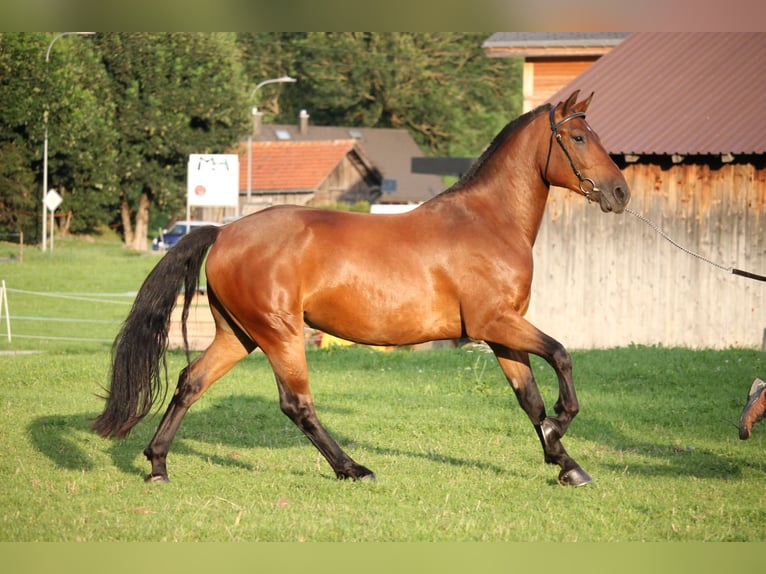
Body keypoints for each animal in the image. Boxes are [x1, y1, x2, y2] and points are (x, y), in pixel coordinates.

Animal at [91, 92, 632, 488]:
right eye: (579, 137)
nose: (620, 193)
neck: (487, 221)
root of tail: (225, 232)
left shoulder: (502, 332)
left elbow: (530, 400)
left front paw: (565, 462)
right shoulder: (496, 322)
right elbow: (561, 356)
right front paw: (562, 426)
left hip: (238, 335)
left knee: (191, 382)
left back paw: (157, 465)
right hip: (280, 334)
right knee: (296, 404)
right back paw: (353, 468)